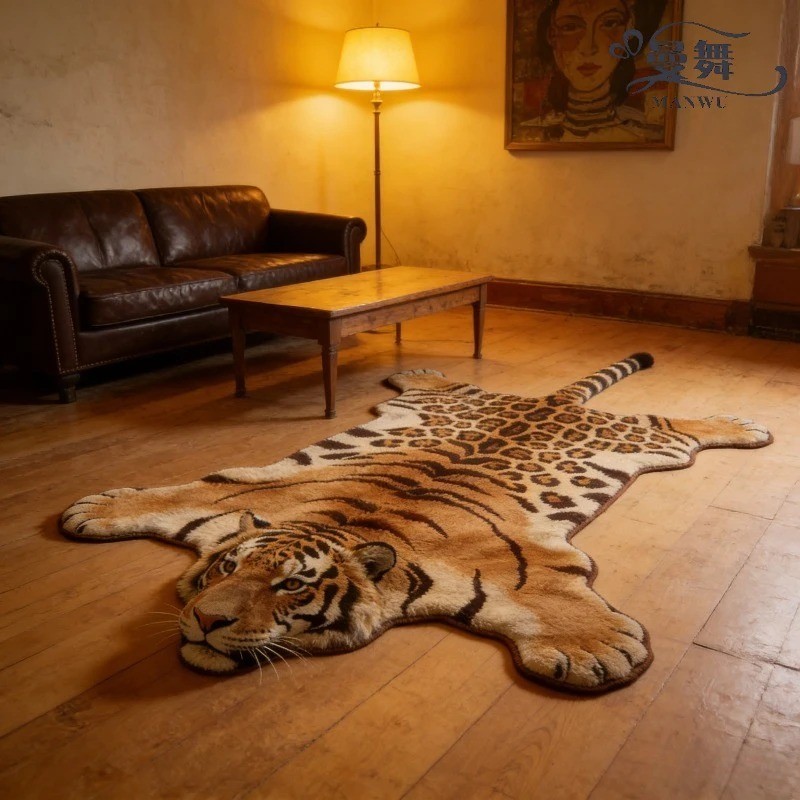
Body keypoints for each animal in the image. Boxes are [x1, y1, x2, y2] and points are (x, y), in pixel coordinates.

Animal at [60, 354, 772, 692]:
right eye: (228, 568)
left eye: (292, 587)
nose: (208, 621)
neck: (344, 525)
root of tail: (551, 397)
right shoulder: (243, 491)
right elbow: (188, 488)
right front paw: (94, 509)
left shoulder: (534, 564)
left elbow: (556, 598)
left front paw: (594, 652)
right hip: (443, 398)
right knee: (437, 382)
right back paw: (415, 369)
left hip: (643, 437)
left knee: (672, 423)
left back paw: (745, 425)